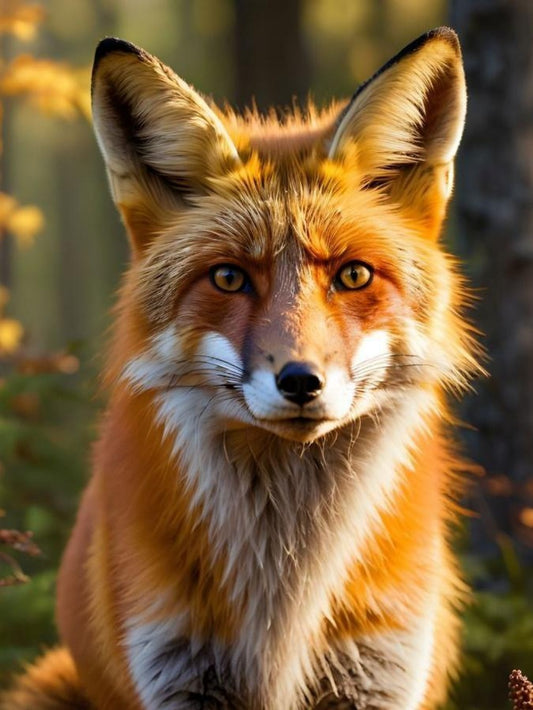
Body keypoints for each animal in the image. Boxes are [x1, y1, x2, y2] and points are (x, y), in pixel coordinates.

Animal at [1, 26, 481, 710]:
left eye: (353, 275)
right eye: (228, 278)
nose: (301, 381)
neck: (287, 595)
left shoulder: (378, 669)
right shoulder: (176, 666)